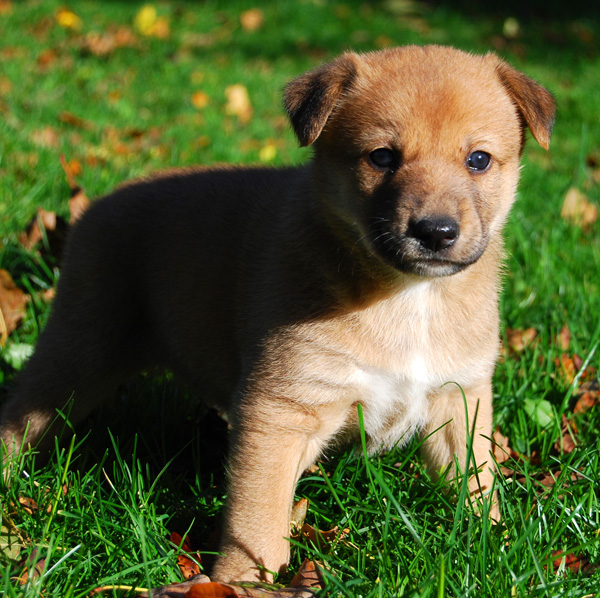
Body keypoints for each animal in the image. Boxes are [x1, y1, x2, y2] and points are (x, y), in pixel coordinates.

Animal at [0, 48, 552, 584]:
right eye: (382, 157)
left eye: (478, 159)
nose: (435, 231)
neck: (408, 297)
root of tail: (97, 205)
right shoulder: (282, 410)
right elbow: (258, 515)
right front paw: (242, 580)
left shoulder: (458, 398)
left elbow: (476, 481)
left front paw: (493, 546)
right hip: (80, 349)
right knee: (23, 411)